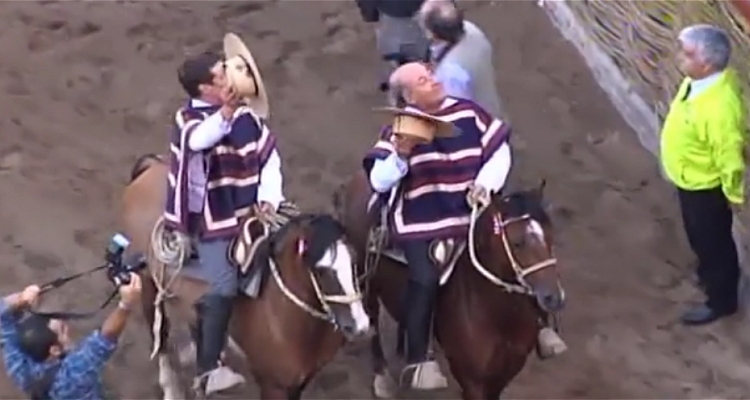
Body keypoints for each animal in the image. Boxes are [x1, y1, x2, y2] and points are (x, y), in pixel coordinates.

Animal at [120, 155, 374, 398]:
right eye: (321, 269)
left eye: (354, 259)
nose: (360, 326)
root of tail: (152, 167)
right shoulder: (274, 385)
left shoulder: (300, 381)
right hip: (148, 283)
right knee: (161, 337)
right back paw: (173, 389)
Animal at [332, 170, 568, 398]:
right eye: (518, 243)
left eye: (550, 236)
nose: (553, 298)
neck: (498, 315)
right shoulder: (472, 379)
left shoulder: (506, 372)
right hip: (366, 280)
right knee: (373, 322)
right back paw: (383, 379)